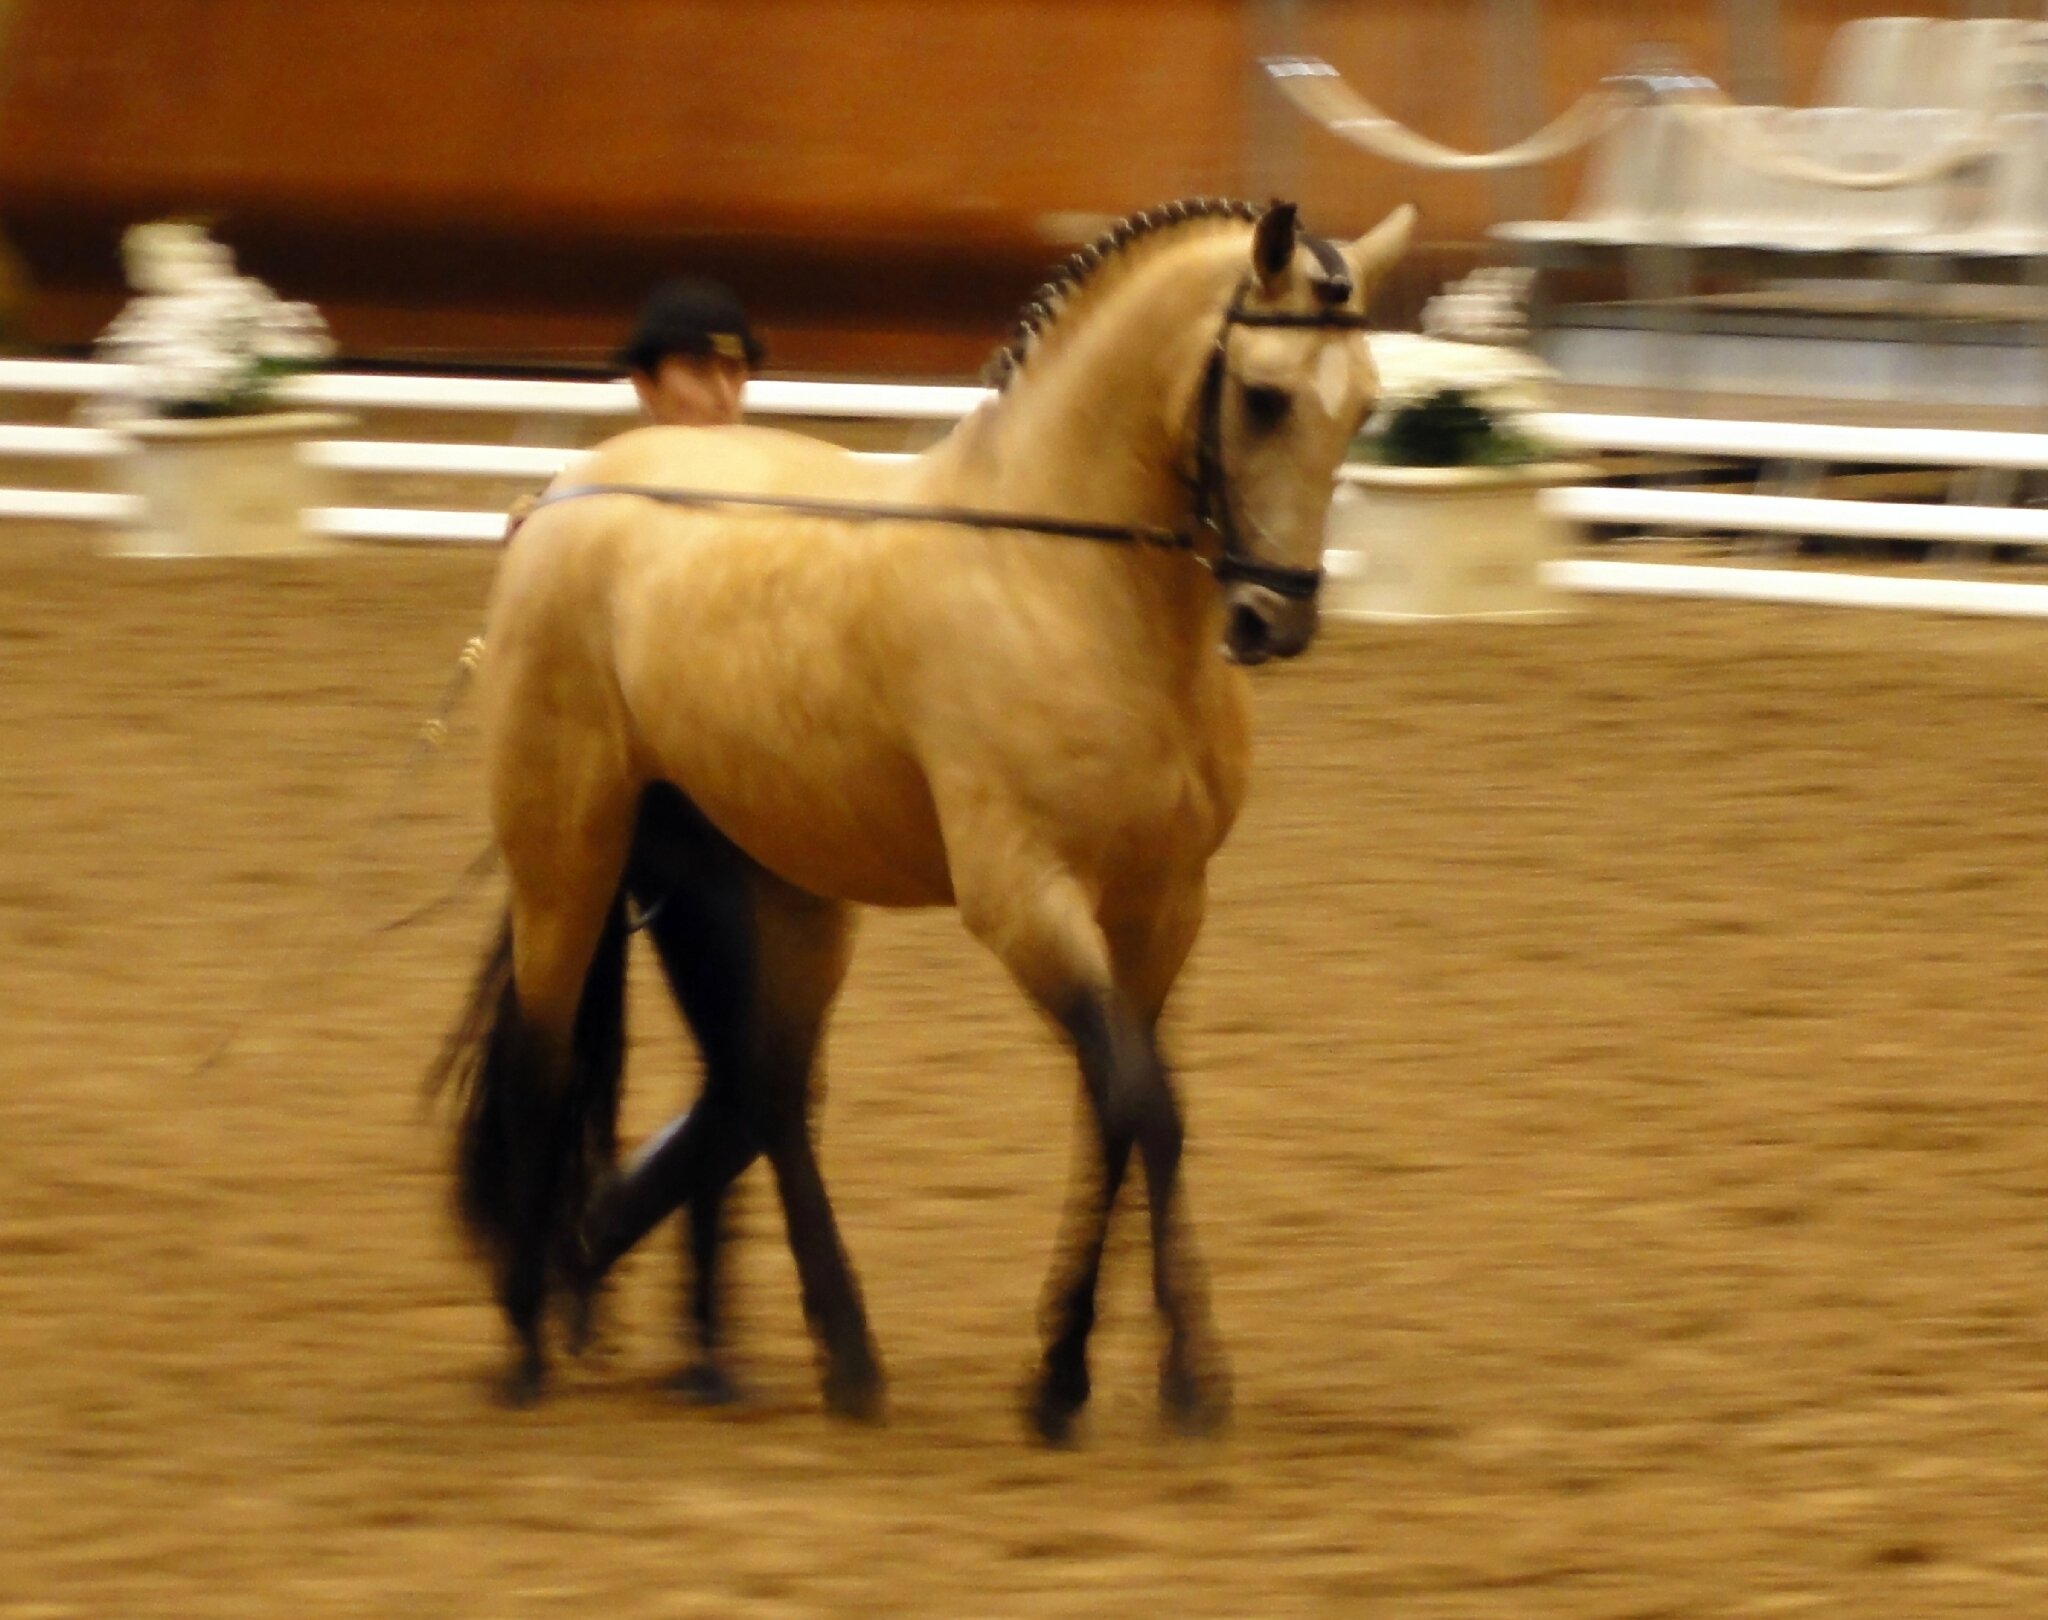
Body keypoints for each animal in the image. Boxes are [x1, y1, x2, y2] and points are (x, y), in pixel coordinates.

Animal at [432, 195, 1415, 1442]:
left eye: (1365, 404)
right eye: (1263, 395)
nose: (1270, 620)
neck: (1064, 581)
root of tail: (559, 498)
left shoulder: (1161, 908)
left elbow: (1118, 1112)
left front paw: (1064, 1375)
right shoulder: (1023, 899)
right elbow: (1145, 1107)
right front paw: (1186, 1380)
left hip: (784, 893)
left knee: (762, 1092)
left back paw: (833, 1355)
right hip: (566, 858)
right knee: (548, 1062)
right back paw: (527, 1340)